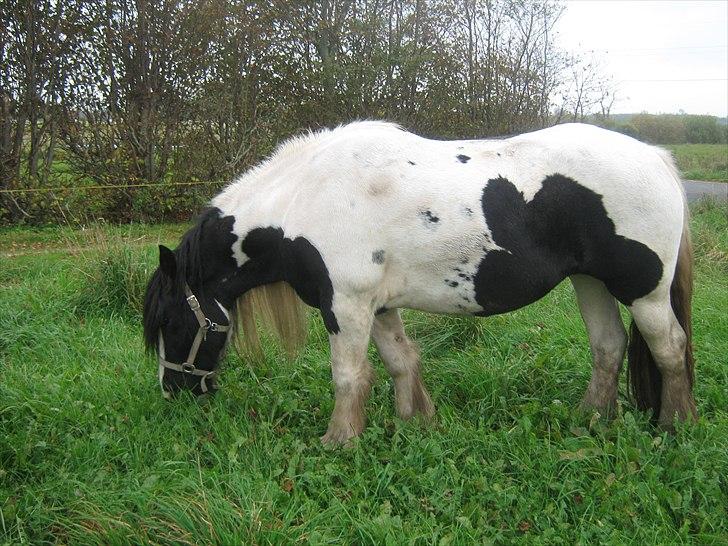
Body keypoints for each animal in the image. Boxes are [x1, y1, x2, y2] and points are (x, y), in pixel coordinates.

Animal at [144, 120, 700, 442]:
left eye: (169, 322)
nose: (173, 392)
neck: (307, 199)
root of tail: (658, 159)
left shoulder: (345, 305)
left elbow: (350, 376)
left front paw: (339, 442)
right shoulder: (377, 305)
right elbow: (400, 361)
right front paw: (416, 422)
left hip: (644, 291)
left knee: (670, 348)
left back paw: (675, 425)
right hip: (590, 282)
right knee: (609, 346)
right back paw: (589, 421)